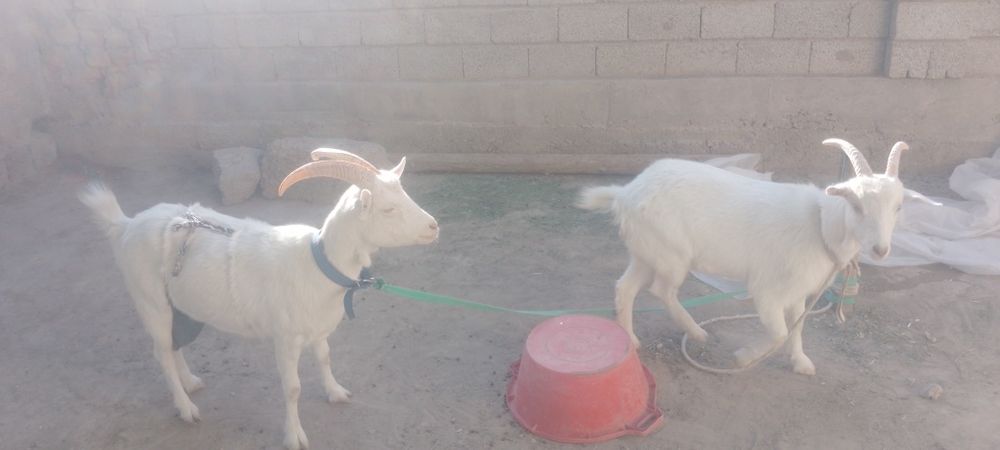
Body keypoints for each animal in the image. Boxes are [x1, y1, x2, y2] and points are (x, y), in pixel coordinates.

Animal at [79, 149, 439, 449]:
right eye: (388, 209)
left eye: (404, 195)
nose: (434, 227)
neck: (317, 262)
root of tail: (125, 225)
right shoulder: (286, 338)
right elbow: (292, 388)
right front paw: (294, 436)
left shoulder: (318, 329)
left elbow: (325, 358)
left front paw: (336, 392)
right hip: (148, 299)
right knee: (161, 352)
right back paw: (186, 408)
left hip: (178, 305)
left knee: (173, 344)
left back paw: (191, 383)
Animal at [578, 139, 938, 375]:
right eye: (857, 205)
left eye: (898, 207)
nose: (881, 249)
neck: (820, 225)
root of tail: (625, 193)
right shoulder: (768, 291)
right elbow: (778, 333)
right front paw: (743, 358)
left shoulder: (798, 293)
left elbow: (796, 328)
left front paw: (801, 363)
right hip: (672, 255)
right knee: (661, 291)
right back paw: (696, 332)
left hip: (647, 251)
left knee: (626, 287)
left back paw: (631, 339)